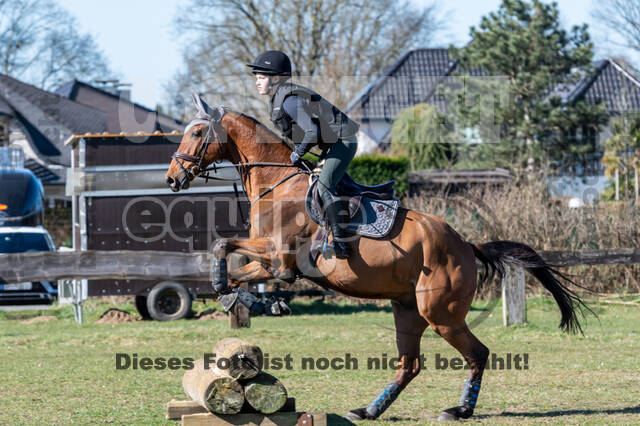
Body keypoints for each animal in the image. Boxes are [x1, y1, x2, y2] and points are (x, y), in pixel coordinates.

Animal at [165, 95, 592, 422]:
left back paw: (459, 410)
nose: (172, 179)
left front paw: (246, 297)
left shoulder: (280, 260)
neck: (278, 181)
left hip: (441, 313)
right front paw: (242, 297)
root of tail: (465, 245)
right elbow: (231, 261)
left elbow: (224, 248)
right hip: (407, 309)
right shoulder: (267, 258)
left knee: (477, 353)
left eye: (197, 132)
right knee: (410, 365)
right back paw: (368, 410)